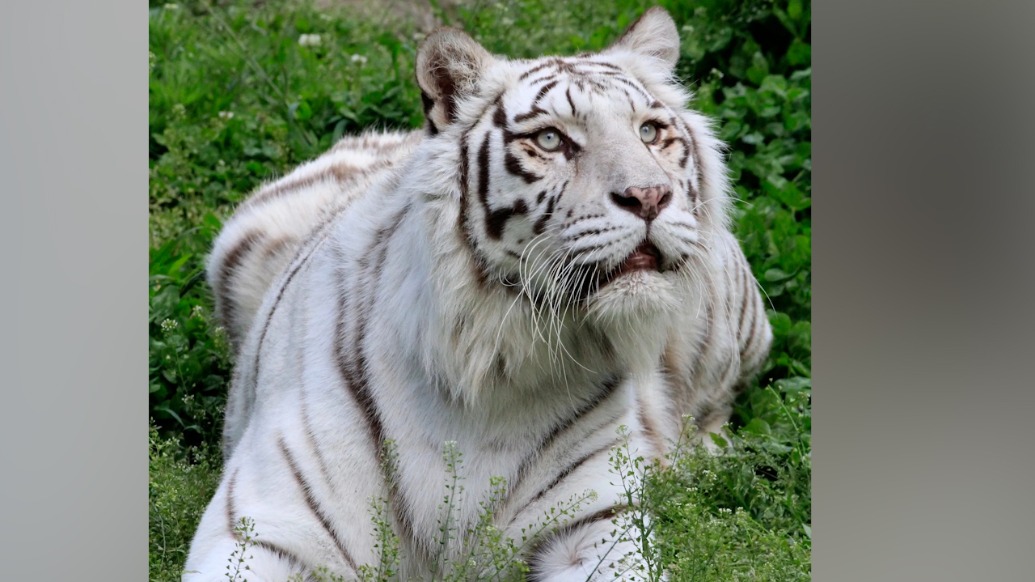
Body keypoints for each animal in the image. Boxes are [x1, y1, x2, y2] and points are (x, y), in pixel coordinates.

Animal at [186, 7, 772, 581]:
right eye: (551, 140)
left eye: (649, 132)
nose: (649, 196)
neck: (488, 369)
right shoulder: (265, 525)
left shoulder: (592, 526)